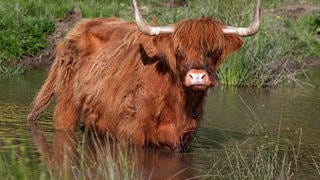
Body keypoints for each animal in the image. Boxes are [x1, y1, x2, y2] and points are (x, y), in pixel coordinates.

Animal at [28, 0, 260, 152]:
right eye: (179, 51)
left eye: (214, 51)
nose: (197, 77)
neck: (179, 105)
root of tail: (78, 27)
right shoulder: (132, 133)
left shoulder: (183, 141)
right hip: (67, 108)